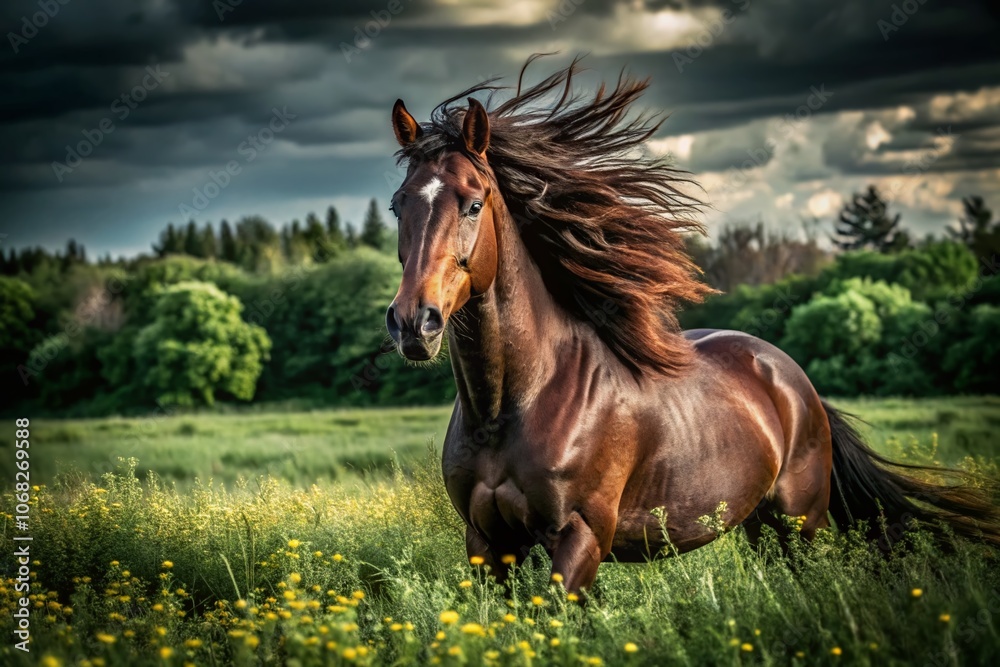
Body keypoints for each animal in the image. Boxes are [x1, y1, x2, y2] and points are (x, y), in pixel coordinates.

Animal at [383, 57, 1000, 593]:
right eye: (397, 205)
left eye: (473, 203)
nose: (414, 321)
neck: (513, 404)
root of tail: (795, 382)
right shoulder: (488, 544)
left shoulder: (579, 538)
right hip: (760, 526)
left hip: (802, 522)